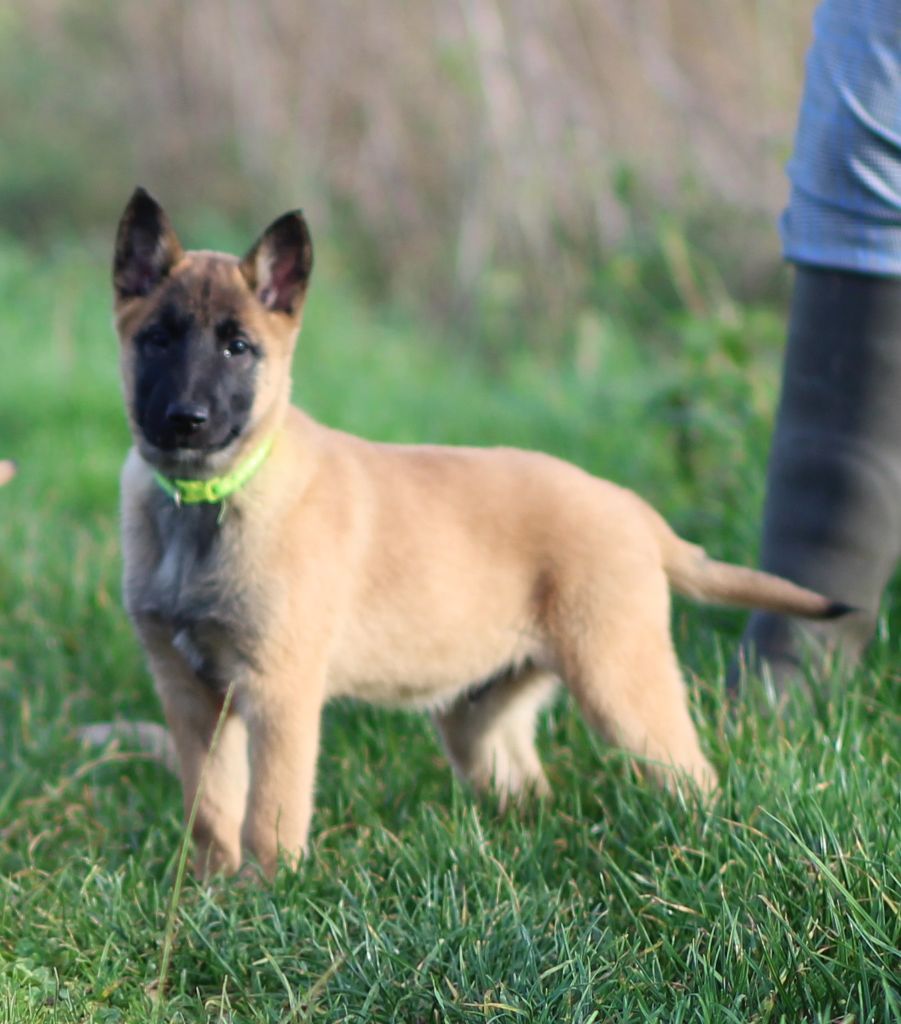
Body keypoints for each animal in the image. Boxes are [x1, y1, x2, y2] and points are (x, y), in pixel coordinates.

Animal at [112, 188, 843, 876]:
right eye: (158, 340)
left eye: (237, 347)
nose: (185, 419)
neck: (208, 498)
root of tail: (634, 510)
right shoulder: (187, 692)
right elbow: (210, 809)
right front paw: (209, 892)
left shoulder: (278, 692)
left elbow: (269, 811)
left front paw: (269, 894)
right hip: (478, 713)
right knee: (528, 785)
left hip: (620, 682)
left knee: (691, 776)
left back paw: (707, 844)